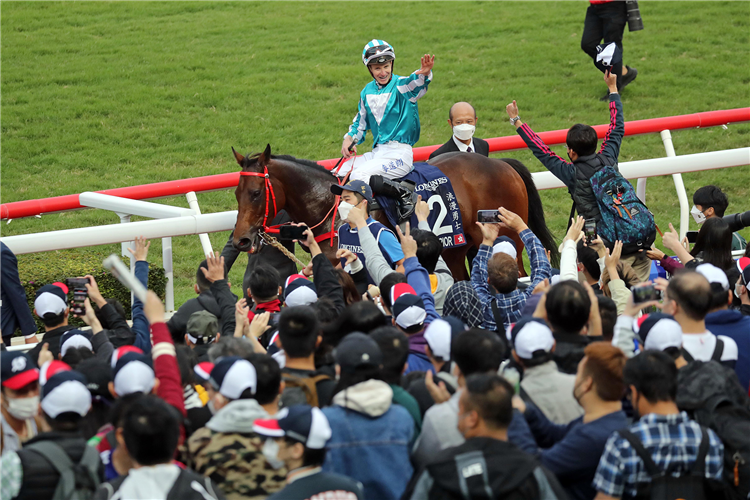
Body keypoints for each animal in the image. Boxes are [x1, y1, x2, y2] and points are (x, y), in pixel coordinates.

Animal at [234, 145, 560, 282]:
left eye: (256, 193)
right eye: (236, 194)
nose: (240, 240)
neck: (331, 205)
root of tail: (503, 164)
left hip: (508, 240)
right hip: (456, 247)